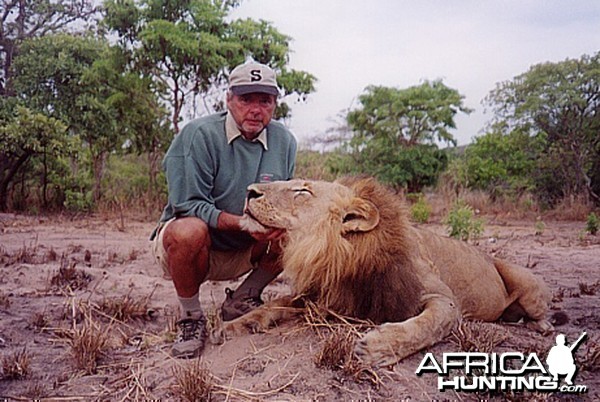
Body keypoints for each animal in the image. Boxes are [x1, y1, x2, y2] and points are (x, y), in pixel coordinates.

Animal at [225, 177, 552, 366]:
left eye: (302, 191)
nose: (249, 191)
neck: (340, 253)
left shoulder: (443, 298)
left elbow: (427, 325)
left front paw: (376, 348)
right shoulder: (324, 294)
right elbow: (274, 304)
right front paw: (232, 326)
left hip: (525, 282)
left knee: (538, 310)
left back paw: (540, 326)